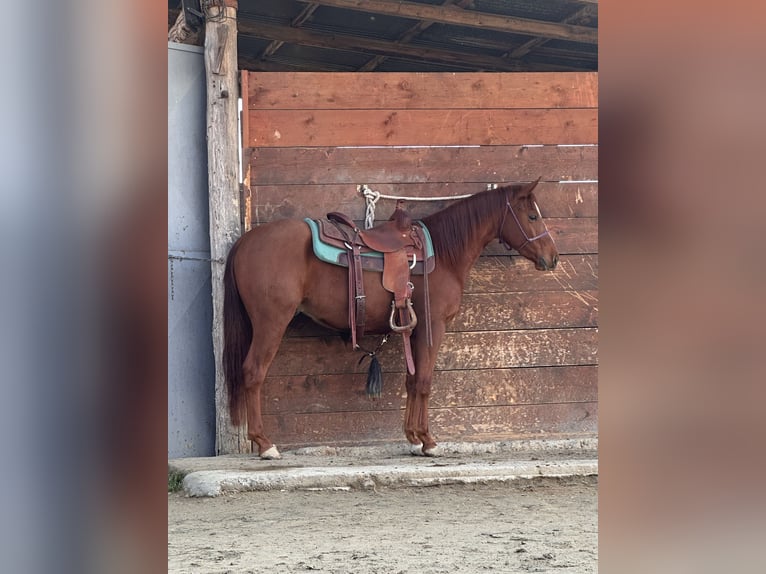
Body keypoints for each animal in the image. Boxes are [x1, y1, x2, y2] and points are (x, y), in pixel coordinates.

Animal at [222, 179, 559, 459]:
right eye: (532, 216)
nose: (553, 258)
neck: (444, 253)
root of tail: (246, 241)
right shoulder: (434, 326)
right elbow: (424, 381)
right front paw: (428, 441)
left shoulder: (414, 328)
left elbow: (412, 380)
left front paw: (412, 438)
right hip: (271, 323)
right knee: (253, 373)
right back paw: (265, 444)